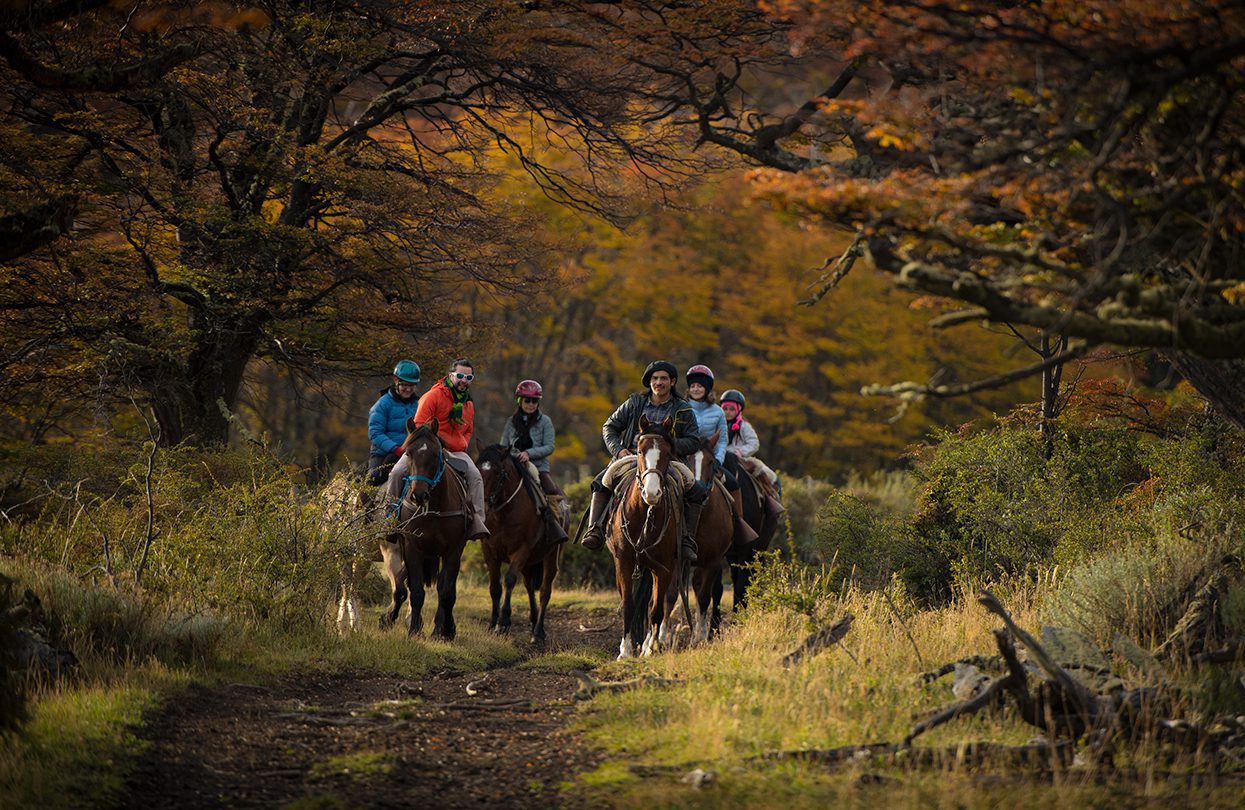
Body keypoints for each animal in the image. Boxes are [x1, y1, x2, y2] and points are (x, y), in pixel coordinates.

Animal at [385, 418, 468, 642]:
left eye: (435, 453)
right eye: (408, 453)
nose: (418, 495)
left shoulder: (453, 551)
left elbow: (447, 593)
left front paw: (444, 630)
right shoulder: (412, 548)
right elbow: (416, 591)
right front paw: (414, 630)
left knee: (443, 588)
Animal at [475, 447, 565, 642]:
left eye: (498, 473)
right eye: (477, 468)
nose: (483, 507)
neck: (503, 514)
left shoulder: (520, 551)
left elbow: (509, 580)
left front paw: (503, 623)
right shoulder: (489, 552)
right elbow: (494, 587)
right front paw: (492, 624)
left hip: (550, 557)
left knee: (545, 591)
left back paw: (538, 632)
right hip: (529, 563)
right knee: (529, 586)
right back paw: (533, 620)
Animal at [610, 418, 687, 656]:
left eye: (668, 453)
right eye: (639, 451)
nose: (651, 493)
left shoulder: (664, 567)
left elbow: (656, 609)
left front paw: (650, 649)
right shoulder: (624, 562)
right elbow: (628, 604)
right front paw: (625, 650)